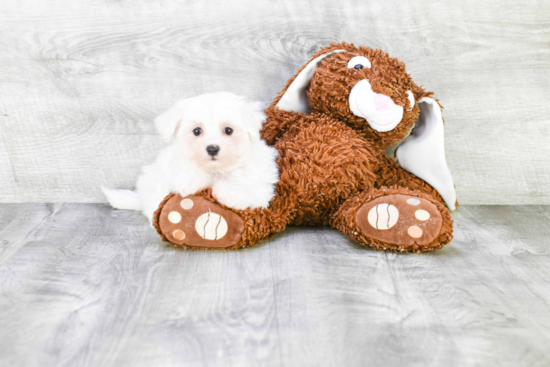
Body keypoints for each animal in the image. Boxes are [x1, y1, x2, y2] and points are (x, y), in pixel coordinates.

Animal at [104, 93, 280, 223]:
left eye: (228, 130)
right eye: (196, 131)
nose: (212, 148)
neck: (216, 170)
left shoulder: (262, 184)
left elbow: (249, 189)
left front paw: (229, 193)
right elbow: (186, 176)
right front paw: (191, 182)